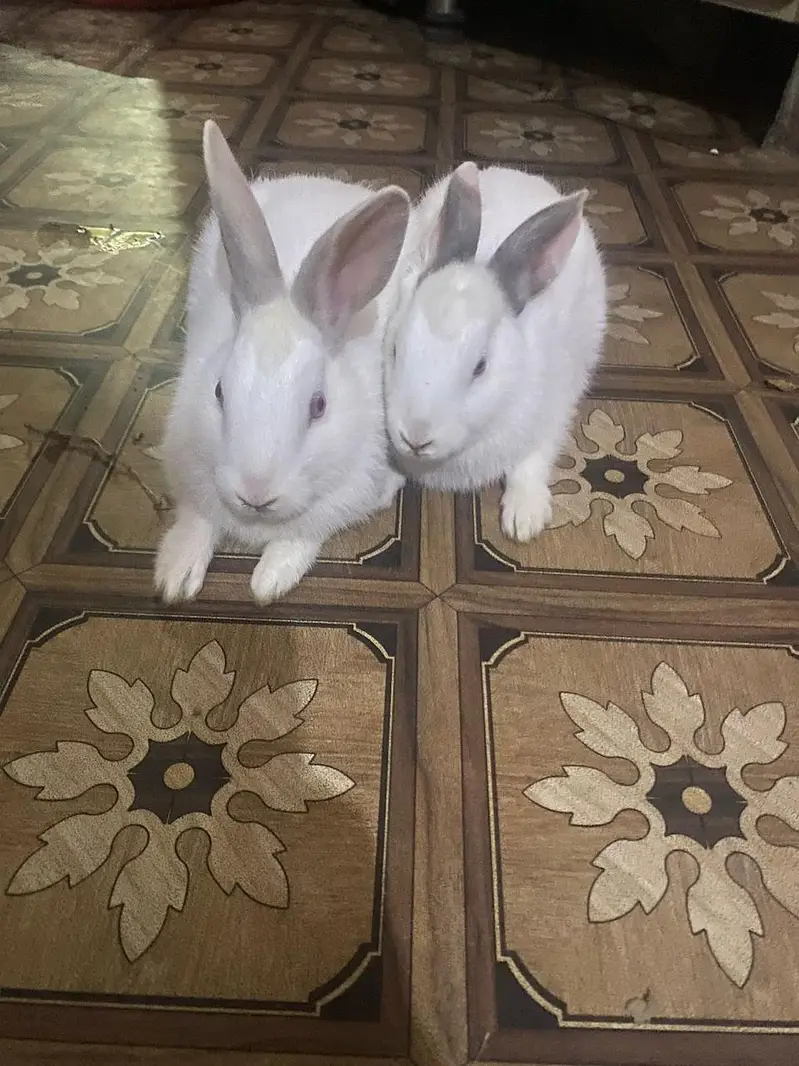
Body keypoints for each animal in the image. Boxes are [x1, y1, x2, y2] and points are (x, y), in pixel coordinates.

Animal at [154, 120, 410, 604]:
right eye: (219, 391)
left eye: (319, 406)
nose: (256, 493)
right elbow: (196, 520)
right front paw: (174, 576)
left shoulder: (337, 502)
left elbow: (300, 538)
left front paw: (269, 582)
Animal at [384, 161, 606, 542]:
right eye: (396, 348)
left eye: (480, 367)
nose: (416, 438)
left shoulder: (551, 412)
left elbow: (532, 461)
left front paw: (524, 521)